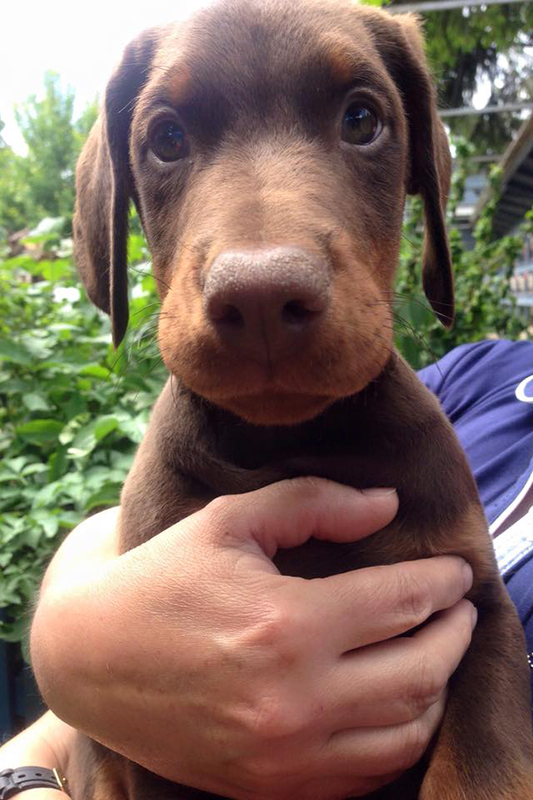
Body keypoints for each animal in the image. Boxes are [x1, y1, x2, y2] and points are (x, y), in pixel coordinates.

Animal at [69, 0, 533, 797]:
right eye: (166, 138)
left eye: (361, 120)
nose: (260, 298)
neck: (289, 445)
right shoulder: (159, 737)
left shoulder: (479, 611)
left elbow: (480, 768)